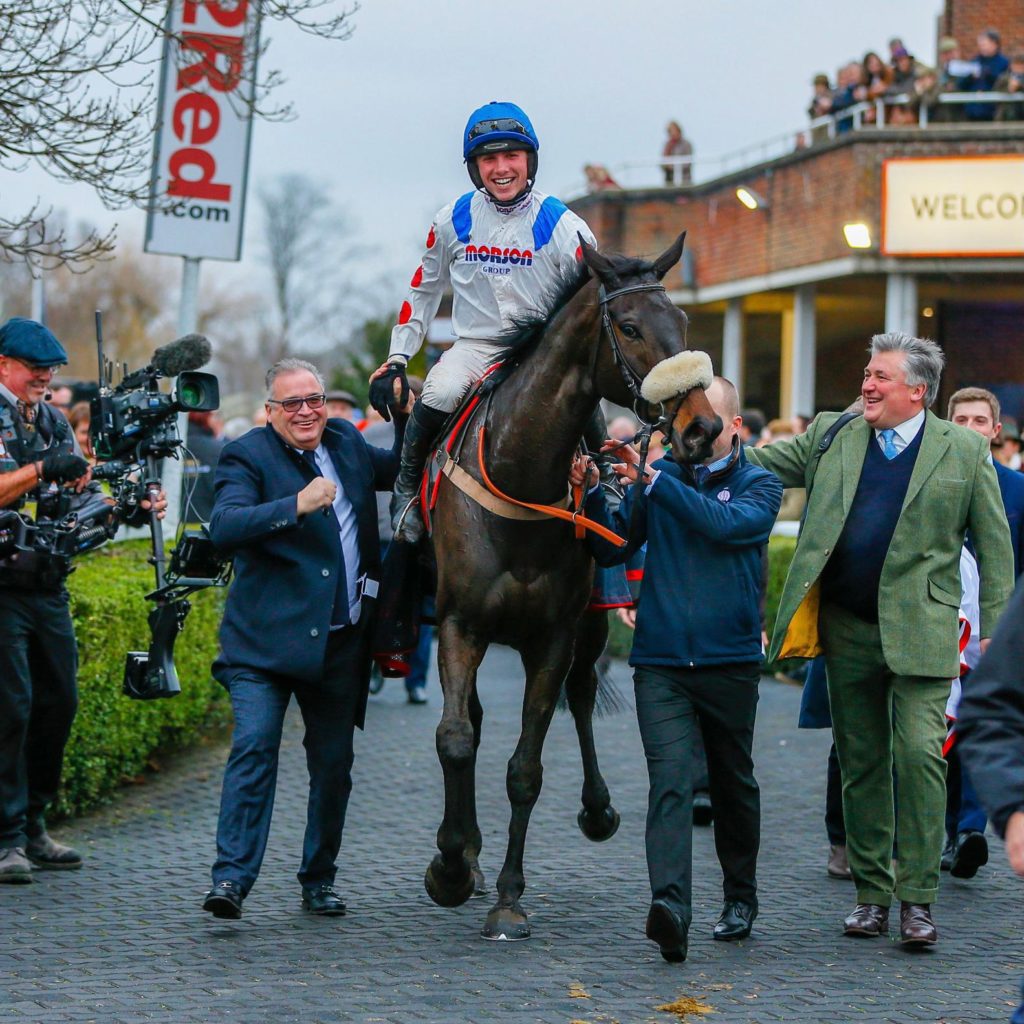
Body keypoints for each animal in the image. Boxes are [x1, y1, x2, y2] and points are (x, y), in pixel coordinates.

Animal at [423, 235, 720, 937]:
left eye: (684, 321)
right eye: (631, 327)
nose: (702, 430)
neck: (519, 477)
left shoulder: (555, 635)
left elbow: (526, 769)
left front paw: (508, 898)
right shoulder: (458, 624)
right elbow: (456, 739)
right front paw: (451, 865)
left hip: (590, 625)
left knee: (582, 696)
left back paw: (597, 809)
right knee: (473, 720)